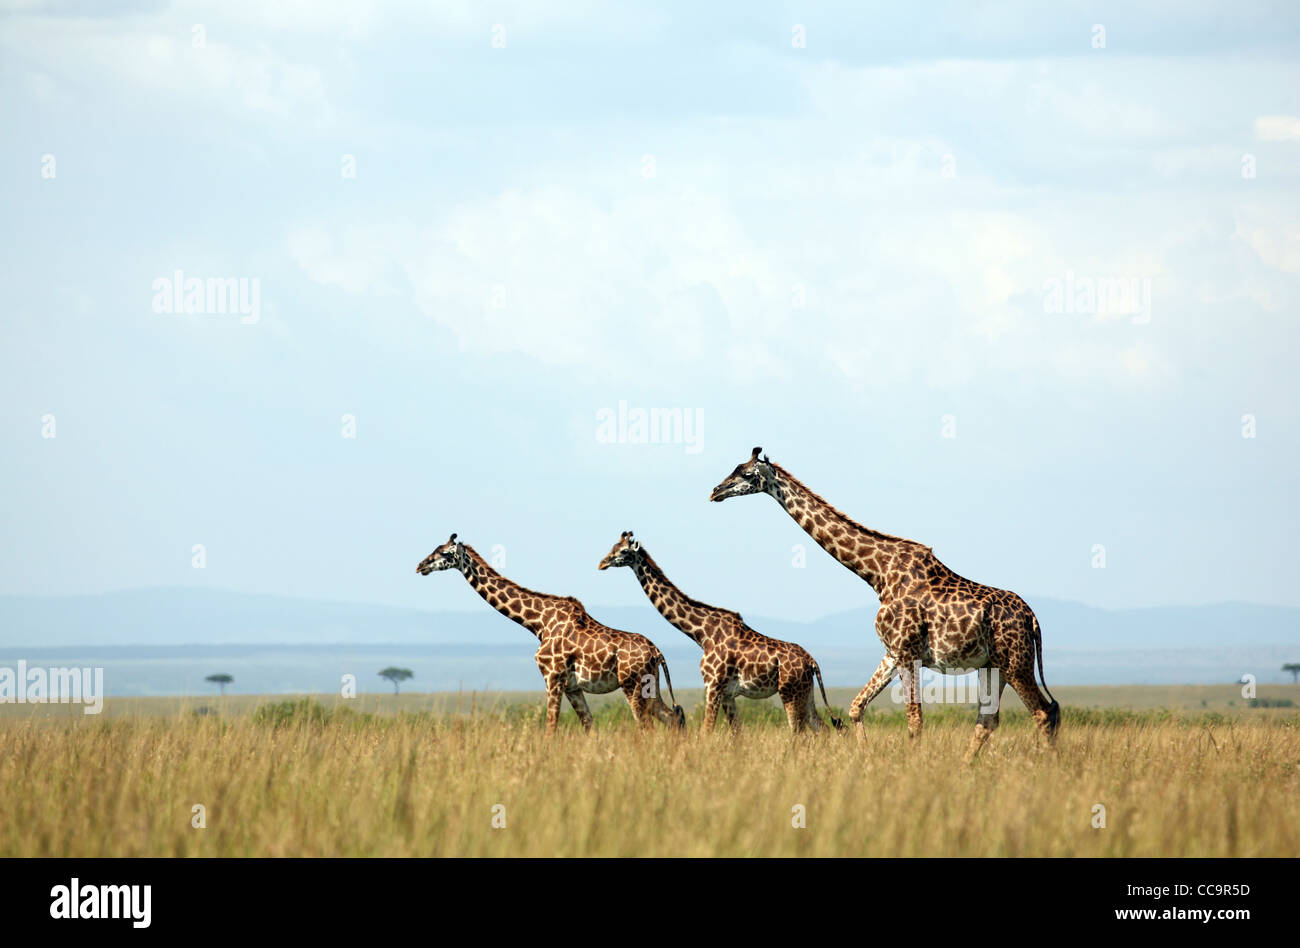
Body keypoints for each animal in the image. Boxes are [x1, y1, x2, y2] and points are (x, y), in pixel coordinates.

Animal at [416, 533, 686, 733]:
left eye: (445, 553)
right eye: (436, 548)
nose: (421, 566)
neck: (538, 623)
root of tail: (657, 652)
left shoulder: (552, 677)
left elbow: (550, 728)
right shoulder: (572, 687)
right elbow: (590, 727)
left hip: (631, 684)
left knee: (647, 727)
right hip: (650, 685)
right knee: (673, 717)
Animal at [595, 527, 842, 733]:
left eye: (623, 551)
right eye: (612, 546)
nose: (602, 563)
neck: (702, 634)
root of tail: (811, 662)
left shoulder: (712, 686)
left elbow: (706, 731)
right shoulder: (727, 695)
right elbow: (737, 735)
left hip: (789, 692)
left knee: (799, 733)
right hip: (805, 692)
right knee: (822, 729)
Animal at [712, 447, 1055, 759]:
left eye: (745, 473)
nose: (715, 491)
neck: (878, 574)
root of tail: (1032, 619)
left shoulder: (907, 653)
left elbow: (914, 719)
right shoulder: (891, 653)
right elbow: (856, 707)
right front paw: (866, 758)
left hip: (1016, 662)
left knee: (1043, 712)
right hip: (992, 666)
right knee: (991, 719)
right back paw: (967, 767)